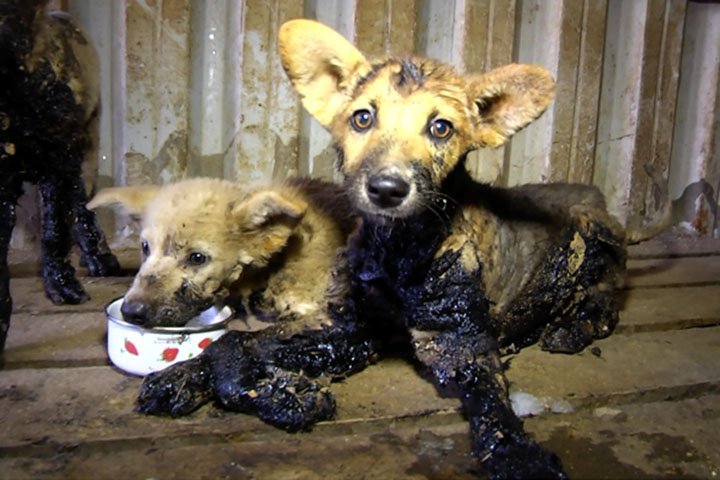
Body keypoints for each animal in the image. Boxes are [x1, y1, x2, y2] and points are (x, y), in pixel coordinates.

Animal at [0, 0, 119, 352]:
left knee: (83, 201)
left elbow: (56, 229)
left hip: (89, 136)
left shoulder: (60, 157)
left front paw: (65, 288)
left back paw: (100, 258)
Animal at [88, 177, 374, 432]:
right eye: (145, 247)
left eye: (197, 258)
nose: (131, 312)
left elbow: (230, 340)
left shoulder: (334, 318)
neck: (274, 265)